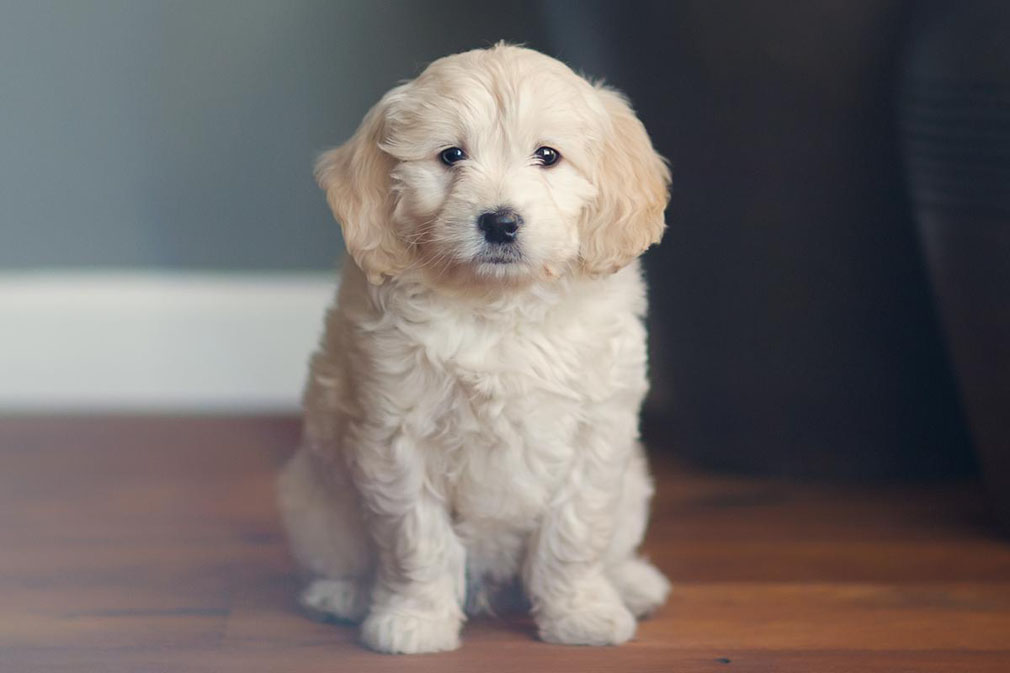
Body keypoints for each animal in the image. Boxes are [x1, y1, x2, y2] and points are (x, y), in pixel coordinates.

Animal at [278, 41, 670, 650]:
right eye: (451, 155)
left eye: (548, 156)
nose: (500, 222)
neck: (497, 307)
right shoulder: (397, 435)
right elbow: (417, 541)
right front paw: (414, 621)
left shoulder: (597, 431)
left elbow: (575, 531)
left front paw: (580, 613)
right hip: (312, 501)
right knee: (339, 555)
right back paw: (343, 594)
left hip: (632, 489)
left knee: (614, 543)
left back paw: (630, 583)